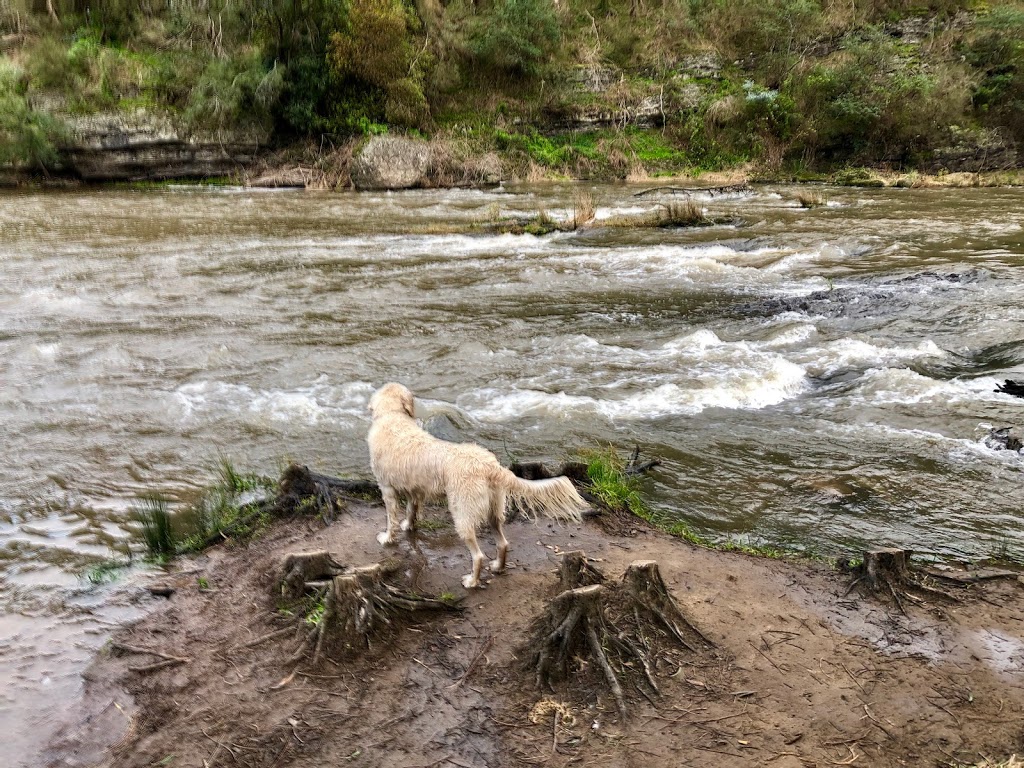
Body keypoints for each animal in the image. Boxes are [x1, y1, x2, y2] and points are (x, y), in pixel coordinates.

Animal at [368, 382, 589, 589]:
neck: (393, 415)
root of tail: (489, 466)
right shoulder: (414, 491)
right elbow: (411, 510)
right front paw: (408, 525)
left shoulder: (386, 488)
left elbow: (391, 518)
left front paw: (387, 538)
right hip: (494, 510)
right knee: (503, 543)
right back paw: (498, 567)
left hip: (462, 514)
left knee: (478, 555)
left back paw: (471, 581)